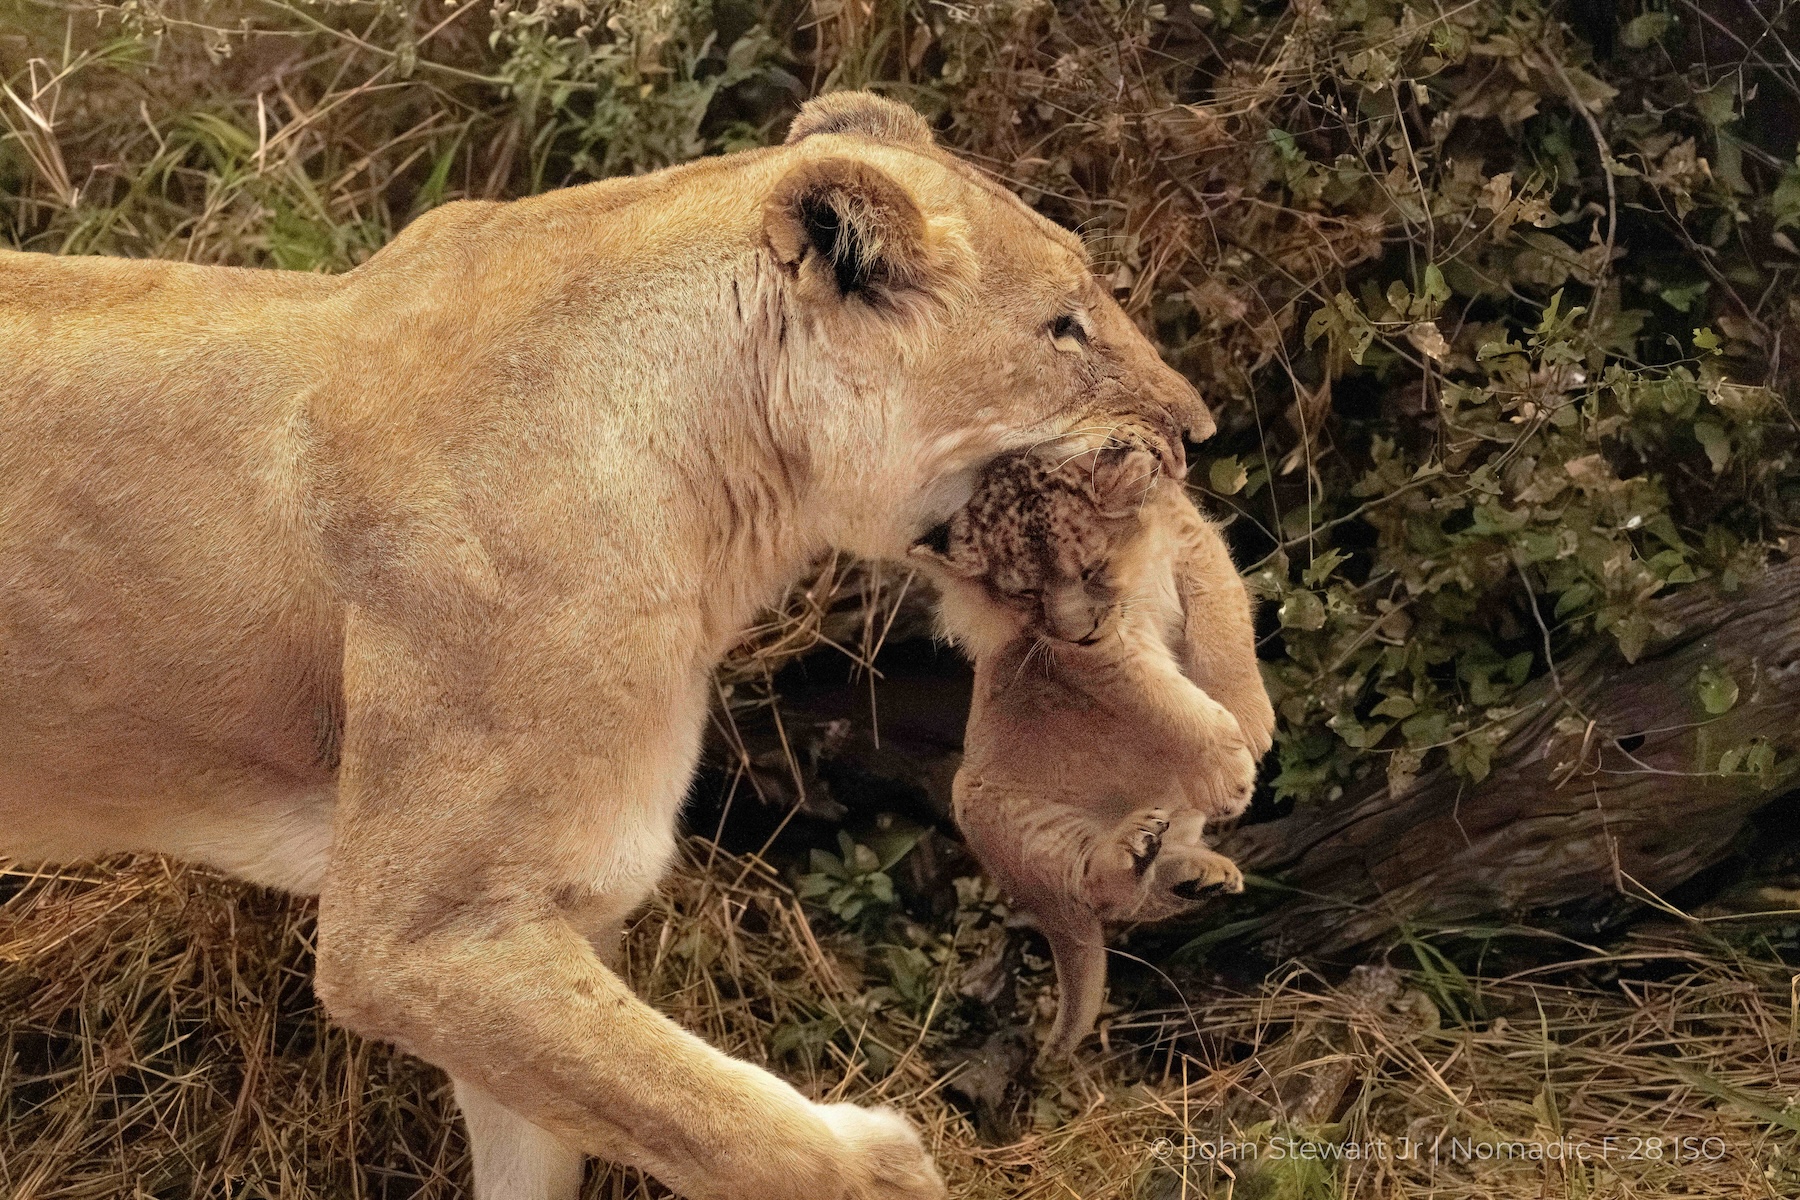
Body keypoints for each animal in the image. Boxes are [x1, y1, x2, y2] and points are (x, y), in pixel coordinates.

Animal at [0, 93, 1215, 1200]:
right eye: (1064, 329)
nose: (1198, 432)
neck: (723, 492)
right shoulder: (420, 935)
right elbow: (725, 1123)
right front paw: (883, 1165)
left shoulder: (534, 919)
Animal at [911, 439, 1275, 1054]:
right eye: (1025, 594)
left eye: (1091, 569)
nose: (1075, 632)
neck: (1138, 570)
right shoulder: (1105, 651)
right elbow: (1158, 697)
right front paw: (1227, 765)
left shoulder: (1195, 546)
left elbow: (1224, 627)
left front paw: (1250, 720)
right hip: (996, 814)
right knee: (1096, 891)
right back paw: (1130, 849)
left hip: (1177, 813)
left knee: (1138, 901)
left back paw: (1195, 874)